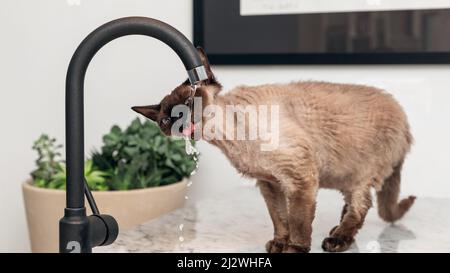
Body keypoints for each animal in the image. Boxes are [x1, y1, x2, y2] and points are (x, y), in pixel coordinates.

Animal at [132, 47, 416, 252]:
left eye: (190, 102)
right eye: (165, 120)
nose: (178, 121)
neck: (231, 139)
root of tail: (404, 120)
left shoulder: (299, 180)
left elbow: (299, 222)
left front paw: (295, 249)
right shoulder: (270, 184)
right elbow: (280, 218)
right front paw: (279, 244)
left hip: (360, 176)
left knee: (360, 208)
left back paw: (337, 240)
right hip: (347, 177)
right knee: (351, 207)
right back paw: (336, 231)